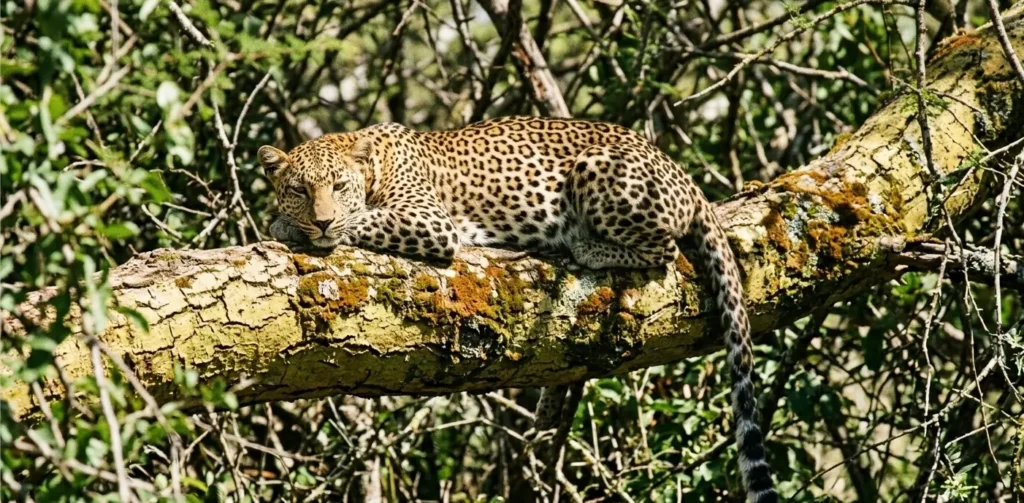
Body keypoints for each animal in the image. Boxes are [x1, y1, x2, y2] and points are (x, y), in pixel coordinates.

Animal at [257, 116, 776, 503]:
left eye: (338, 185)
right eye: (300, 189)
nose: (322, 220)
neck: (374, 163)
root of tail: (680, 170)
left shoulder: (430, 222)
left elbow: (362, 220)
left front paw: (291, 226)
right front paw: (291, 222)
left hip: (597, 169)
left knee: (663, 250)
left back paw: (585, 246)